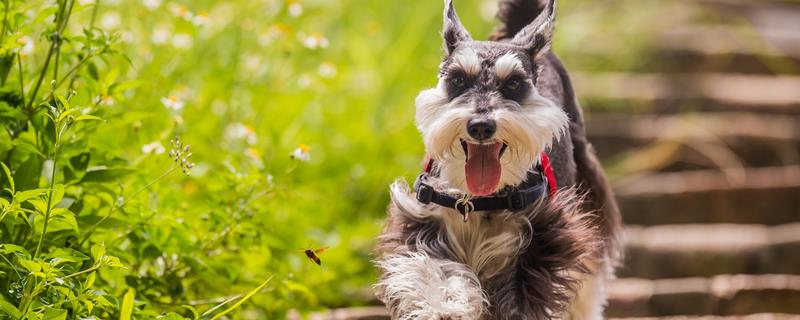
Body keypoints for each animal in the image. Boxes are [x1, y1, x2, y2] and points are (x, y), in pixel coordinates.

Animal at [376, 0, 624, 320]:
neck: (478, 199)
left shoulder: (541, 240)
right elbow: (434, 269)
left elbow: (518, 299)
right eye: (458, 79)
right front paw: (446, 305)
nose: (481, 126)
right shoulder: (423, 221)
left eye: (514, 84)